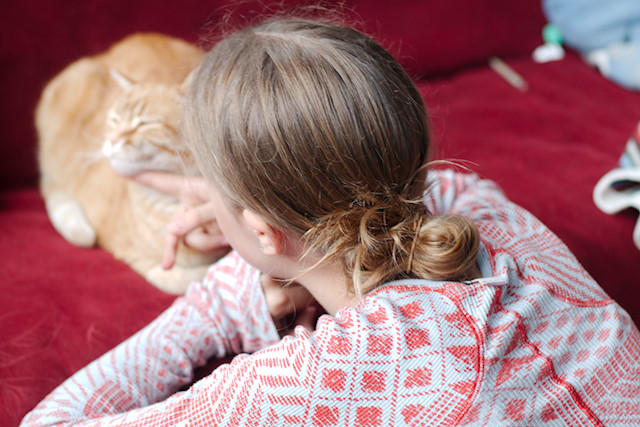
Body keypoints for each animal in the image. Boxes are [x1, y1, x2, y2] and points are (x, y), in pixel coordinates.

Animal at [38, 33, 221, 294]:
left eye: (144, 124)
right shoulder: (130, 254)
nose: (111, 140)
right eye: (114, 120)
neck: (170, 203)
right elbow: (180, 280)